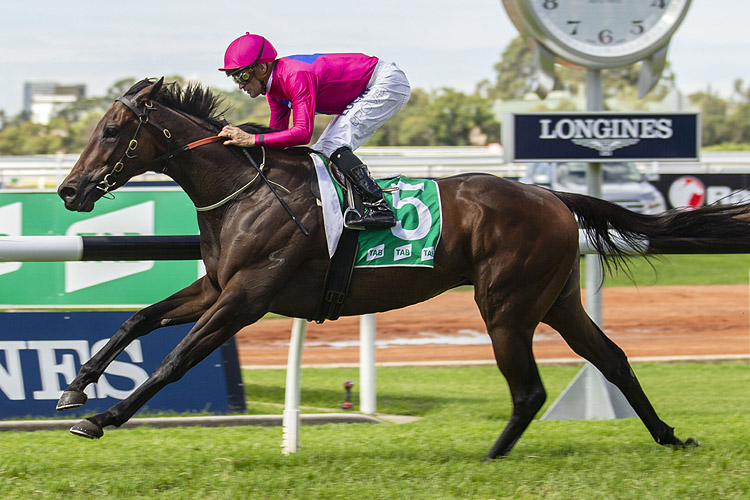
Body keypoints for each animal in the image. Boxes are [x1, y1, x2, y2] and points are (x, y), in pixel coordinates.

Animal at [55, 77, 748, 460]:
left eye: (112, 131)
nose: (69, 190)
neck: (245, 189)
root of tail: (552, 195)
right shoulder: (216, 286)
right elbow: (139, 319)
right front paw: (76, 386)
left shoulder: (246, 298)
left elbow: (174, 360)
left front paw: (103, 418)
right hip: (557, 300)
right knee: (612, 359)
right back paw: (668, 436)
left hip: (507, 305)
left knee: (530, 390)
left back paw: (491, 458)